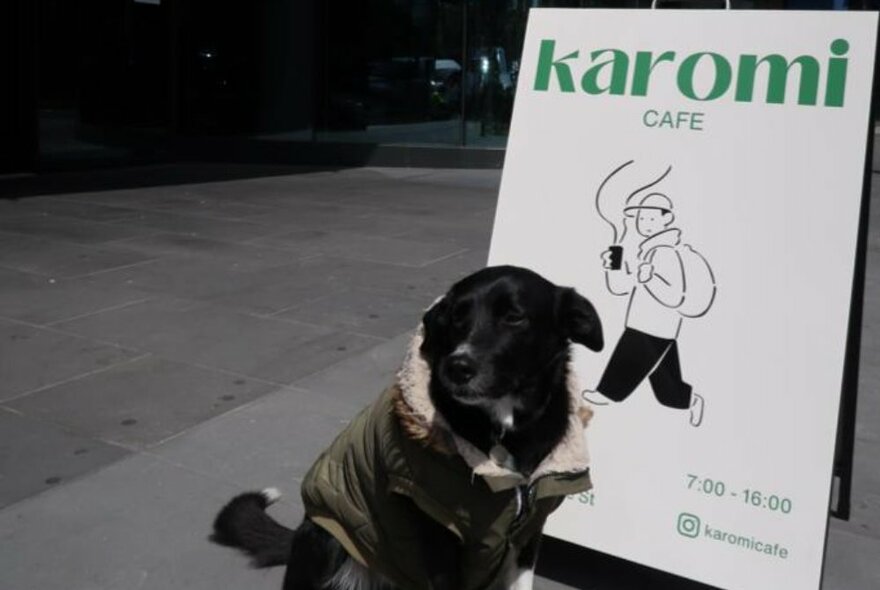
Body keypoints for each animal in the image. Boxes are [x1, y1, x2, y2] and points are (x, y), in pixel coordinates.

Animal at [211, 266, 604, 588]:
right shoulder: (440, 540)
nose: (457, 367)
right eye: (457, 317)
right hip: (329, 539)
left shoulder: (526, 537)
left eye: (514, 317)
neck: (501, 430)